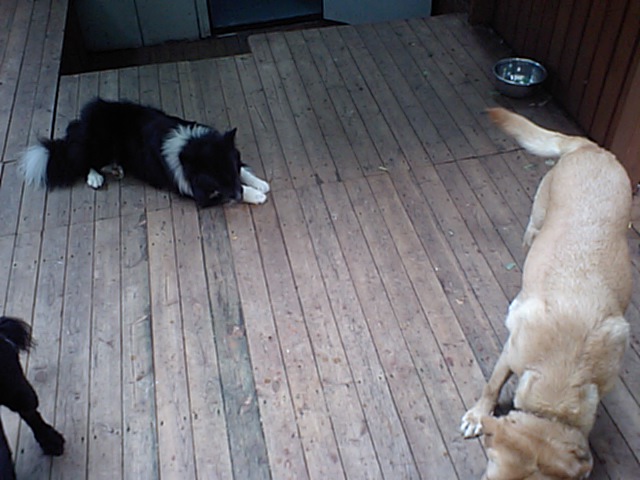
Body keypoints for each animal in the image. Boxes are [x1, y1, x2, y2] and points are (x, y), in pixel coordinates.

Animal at [20, 98, 270, 208]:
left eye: (231, 172)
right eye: (218, 178)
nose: (238, 194)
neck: (191, 146)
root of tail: (81, 123)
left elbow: (245, 171)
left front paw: (260, 183)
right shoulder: (198, 193)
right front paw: (256, 195)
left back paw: (116, 168)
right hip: (99, 144)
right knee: (82, 159)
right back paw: (95, 177)